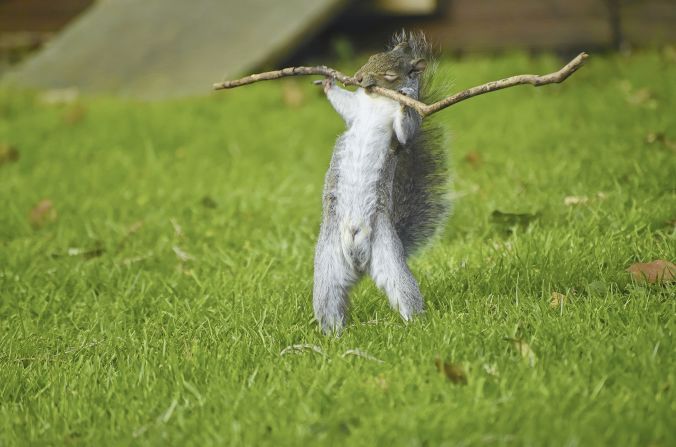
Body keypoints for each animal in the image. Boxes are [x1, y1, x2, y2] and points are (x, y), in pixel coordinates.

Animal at [313, 31, 450, 334]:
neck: (376, 101)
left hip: (387, 255)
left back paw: (416, 326)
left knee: (403, 292)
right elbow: (347, 106)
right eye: (371, 56)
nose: (358, 77)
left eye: (390, 74)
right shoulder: (357, 110)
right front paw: (328, 82)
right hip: (328, 266)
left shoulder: (402, 132)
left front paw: (405, 100)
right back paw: (332, 335)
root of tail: (359, 264)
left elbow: (405, 130)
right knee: (330, 301)